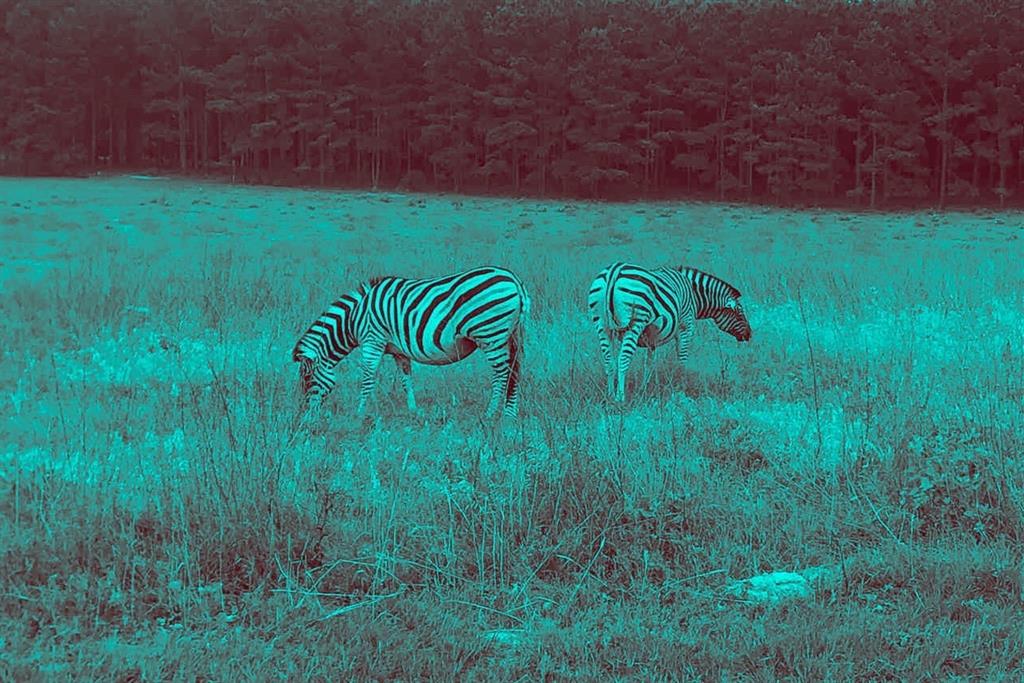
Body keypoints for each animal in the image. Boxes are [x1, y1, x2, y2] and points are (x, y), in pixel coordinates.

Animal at [292, 266, 530, 420]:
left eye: (308, 379)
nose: (306, 417)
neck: (353, 318)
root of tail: (513, 280)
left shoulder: (372, 340)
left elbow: (367, 378)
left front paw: (359, 413)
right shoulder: (399, 351)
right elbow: (406, 379)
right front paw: (413, 410)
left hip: (491, 334)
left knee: (502, 374)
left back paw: (490, 414)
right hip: (509, 335)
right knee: (514, 371)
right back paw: (509, 414)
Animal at [587, 262, 751, 402]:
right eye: (740, 314)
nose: (749, 334)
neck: (693, 295)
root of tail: (614, 271)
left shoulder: (651, 339)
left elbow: (649, 363)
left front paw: (645, 388)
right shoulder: (686, 327)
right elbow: (682, 360)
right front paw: (681, 386)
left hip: (602, 325)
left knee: (609, 362)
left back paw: (609, 395)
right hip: (634, 323)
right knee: (623, 359)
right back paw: (620, 397)